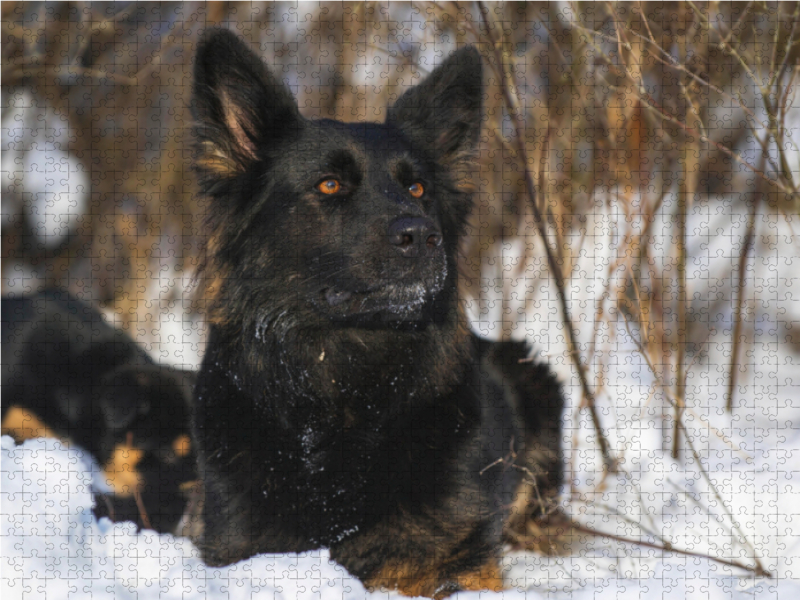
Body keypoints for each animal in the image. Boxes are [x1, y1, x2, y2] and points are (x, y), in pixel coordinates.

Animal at [189, 30, 564, 596]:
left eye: (418, 188)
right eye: (329, 185)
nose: (423, 237)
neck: (341, 380)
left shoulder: (456, 559)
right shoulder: (239, 547)